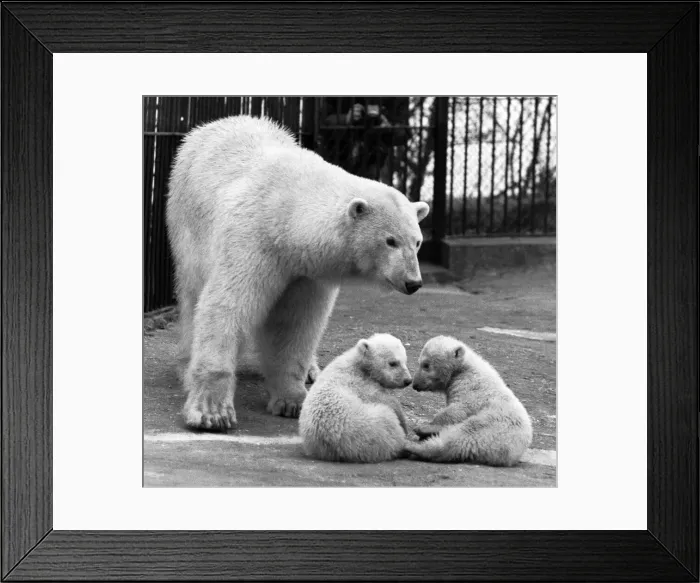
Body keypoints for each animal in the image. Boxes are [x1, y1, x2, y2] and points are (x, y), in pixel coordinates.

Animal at [165, 115, 430, 431]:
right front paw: (212, 413)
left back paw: (313, 370)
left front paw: (292, 399)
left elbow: (295, 322)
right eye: (390, 240)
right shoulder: (252, 241)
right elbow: (228, 306)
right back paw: (184, 365)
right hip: (186, 227)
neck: (288, 216)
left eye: (417, 241)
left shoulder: (307, 271)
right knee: (191, 294)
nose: (413, 282)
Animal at [298, 334, 412, 463]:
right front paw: (404, 423)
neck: (358, 364)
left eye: (405, 361)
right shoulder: (360, 382)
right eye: (393, 363)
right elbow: (385, 399)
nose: (408, 380)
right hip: (367, 429)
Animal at [404, 336, 533, 466]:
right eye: (420, 363)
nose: (415, 385)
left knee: (464, 435)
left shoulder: (471, 386)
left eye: (426, 365)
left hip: (496, 424)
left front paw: (429, 425)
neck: (464, 368)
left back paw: (415, 440)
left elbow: (459, 408)